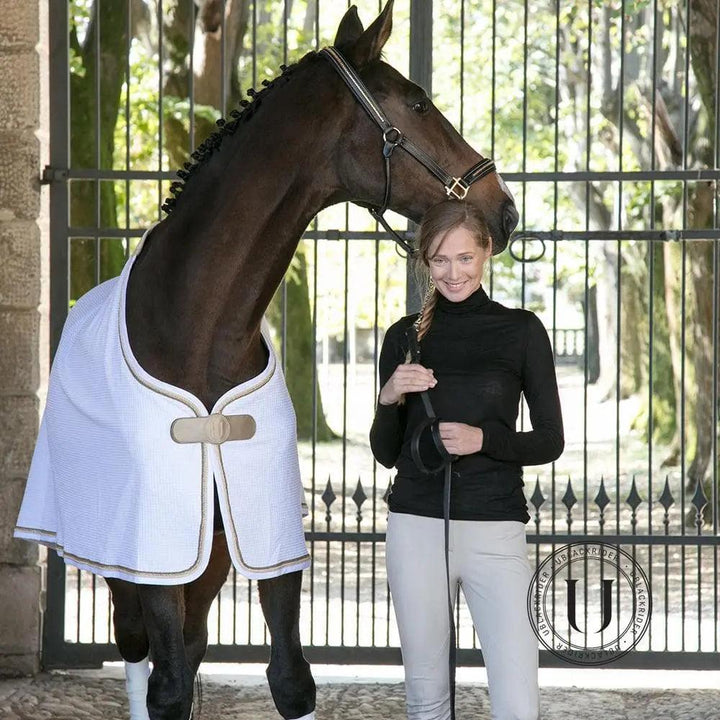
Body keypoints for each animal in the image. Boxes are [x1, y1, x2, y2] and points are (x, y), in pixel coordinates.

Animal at [14, 2, 518, 719]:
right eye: (419, 103)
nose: (503, 209)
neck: (198, 329)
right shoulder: (156, 551)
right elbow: (169, 687)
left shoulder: (264, 542)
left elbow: (289, 679)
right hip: (133, 566)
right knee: (142, 653)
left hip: (210, 561)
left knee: (192, 644)